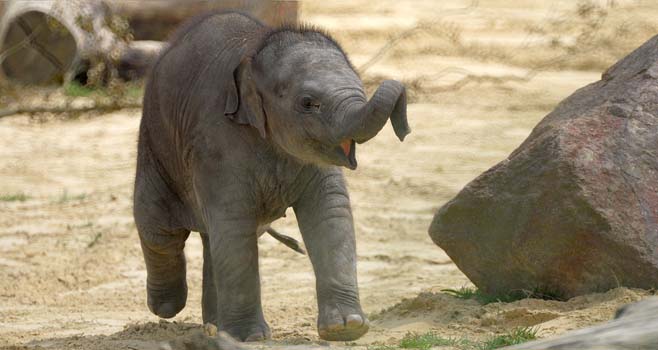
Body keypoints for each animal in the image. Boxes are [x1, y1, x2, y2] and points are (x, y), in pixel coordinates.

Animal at [133, 10, 408, 342]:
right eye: (308, 102)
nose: (404, 127)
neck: (254, 52)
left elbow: (329, 213)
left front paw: (346, 328)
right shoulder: (216, 142)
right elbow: (234, 223)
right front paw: (250, 338)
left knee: (211, 239)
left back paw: (216, 327)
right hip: (154, 149)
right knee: (160, 231)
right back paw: (166, 306)